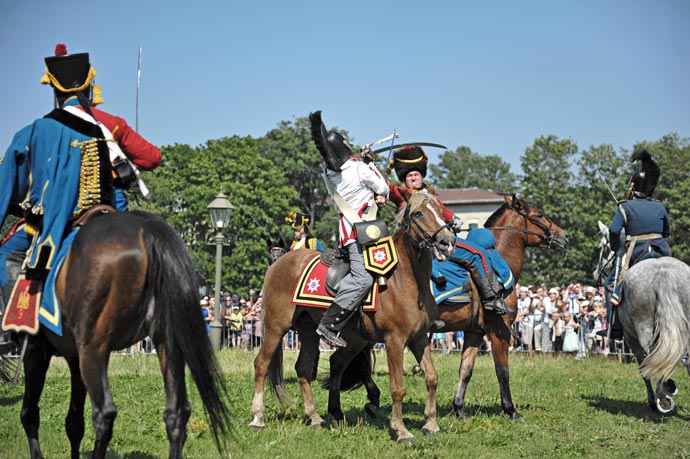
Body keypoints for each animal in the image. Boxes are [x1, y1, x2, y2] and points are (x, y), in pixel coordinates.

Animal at [16, 213, 230, 459]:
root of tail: (147, 227)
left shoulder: (36, 350)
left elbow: (30, 413)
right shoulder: (72, 357)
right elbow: (74, 422)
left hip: (92, 349)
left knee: (103, 415)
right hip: (167, 344)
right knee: (177, 411)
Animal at [250, 192, 454, 444]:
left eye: (441, 210)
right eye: (418, 214)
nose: (447, 241)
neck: (405, 280)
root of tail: (279, 264)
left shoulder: (419, 338)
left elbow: (432, 377)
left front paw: (431, 424)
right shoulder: (395, 340)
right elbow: (397, 387)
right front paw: (400, 430)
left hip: (315, 332)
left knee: (305, 368)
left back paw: (315, 416)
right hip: (276, 327)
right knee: (261, 364)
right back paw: (257, 418)